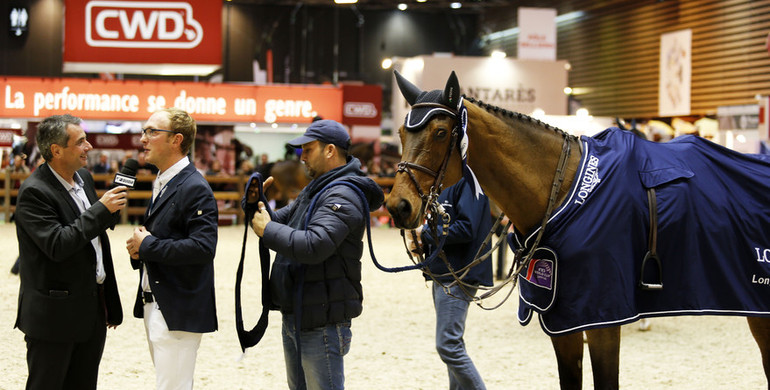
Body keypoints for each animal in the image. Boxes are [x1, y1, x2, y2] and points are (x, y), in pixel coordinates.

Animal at [384, 71, 768, 390]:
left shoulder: (602, 319)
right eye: (402, 133)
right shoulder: (563, 321)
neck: (564, 193)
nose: (398, 206)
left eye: (440, 132)